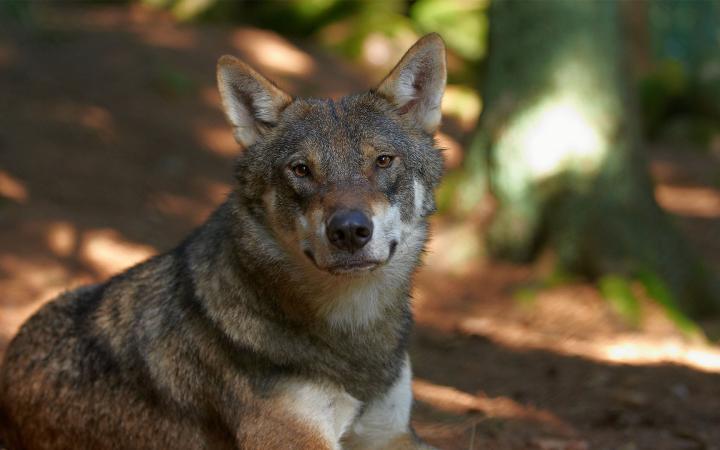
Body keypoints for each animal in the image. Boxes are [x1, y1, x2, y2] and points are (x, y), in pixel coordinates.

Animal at [0, 33, 448, 448]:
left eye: (383, 161)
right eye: (301, 170)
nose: (350, 230)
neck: (354, 338)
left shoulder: (392, 434)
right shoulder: (297, 439)